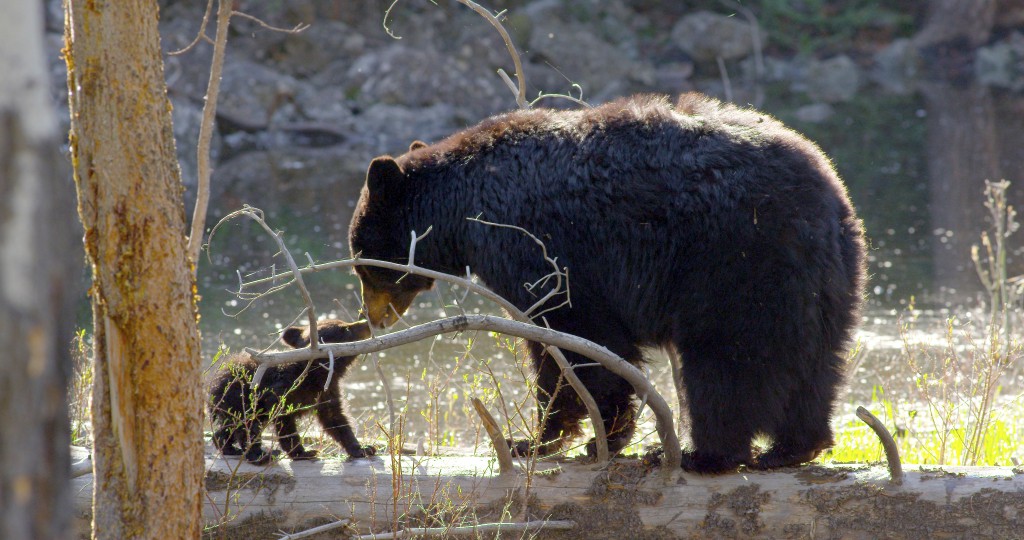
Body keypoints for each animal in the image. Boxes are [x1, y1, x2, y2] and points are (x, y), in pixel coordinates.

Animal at [207, 321, 376, 465]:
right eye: (345, 329)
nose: (365, 322)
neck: (315, 375)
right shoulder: (282, 389)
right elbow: (284, 420)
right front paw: (302, 452)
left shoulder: (327, 391)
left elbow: (335, 419)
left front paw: (362, 449)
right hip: (241, 398)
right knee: (246, 424)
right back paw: (260, 455)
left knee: (231, 426)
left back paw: (227, 446)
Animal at [350, 93, 864, 473]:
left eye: (361, 262)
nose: (372, 319)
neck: (463, 210)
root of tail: (828, 202)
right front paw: (593, 436)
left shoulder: (538, 244)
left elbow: (574, 336)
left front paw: (541, 439)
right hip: (827, 283)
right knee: (817, 363)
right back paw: (793, 447)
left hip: (736, 264)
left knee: (729, 361)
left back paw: (702, 454)